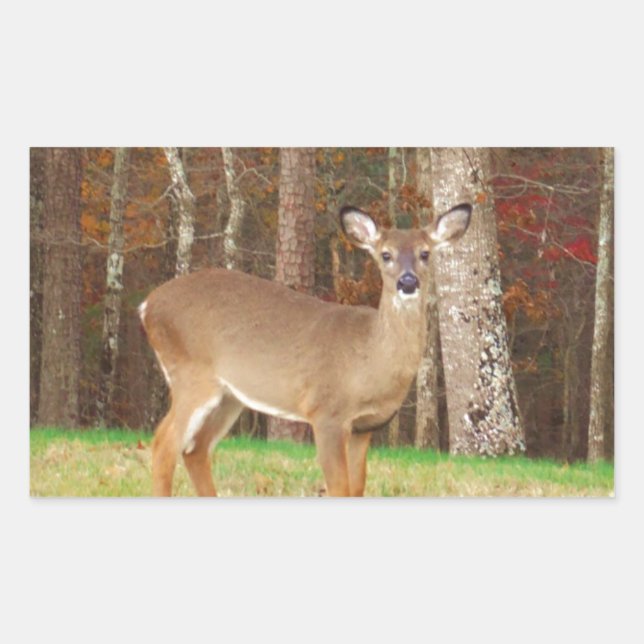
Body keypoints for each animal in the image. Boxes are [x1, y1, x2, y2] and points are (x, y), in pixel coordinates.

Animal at [139, 202, 472, 497]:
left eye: (425, 253)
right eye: (385, 254)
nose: (407, 282)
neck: (367, 360)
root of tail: (147, 305)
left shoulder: (364, 427)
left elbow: (357, 488)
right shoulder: (326, 412)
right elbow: (338, 488)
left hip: (229, 396)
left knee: (195, 450)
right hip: (191, 375)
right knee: (164, 445)